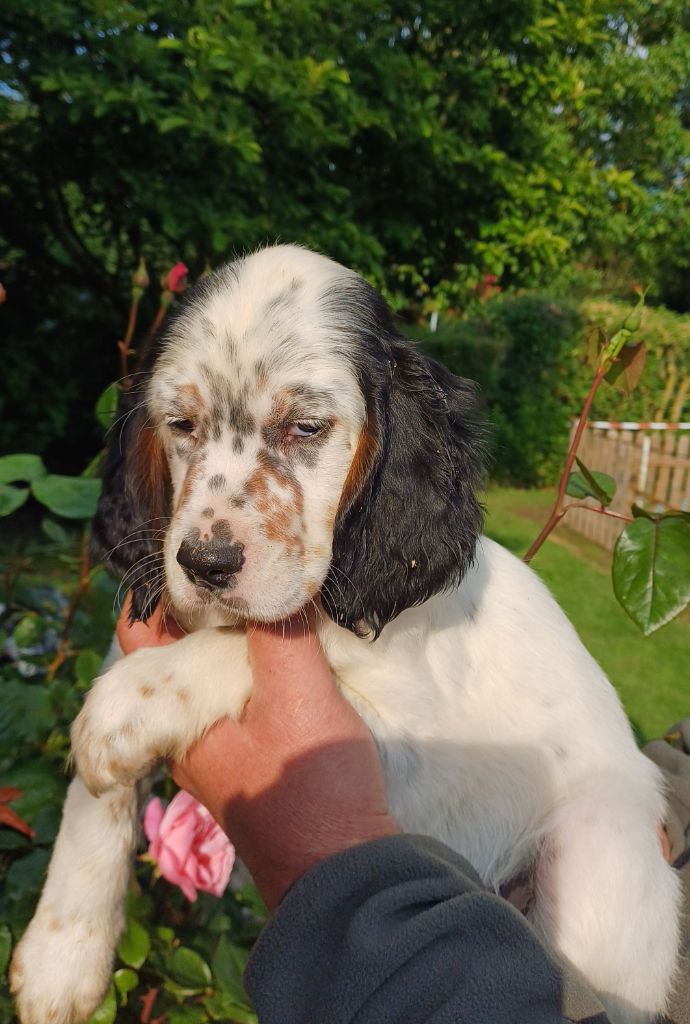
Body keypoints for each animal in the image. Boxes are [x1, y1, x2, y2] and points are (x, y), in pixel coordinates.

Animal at [11, 244, 681, 1024]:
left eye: (306, 428)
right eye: (180, 424)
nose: (204, 564)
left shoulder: (414, 736)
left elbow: (247, 647)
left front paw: (128, 708)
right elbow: (94, 804)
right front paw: (61, 956)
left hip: (600, 839)